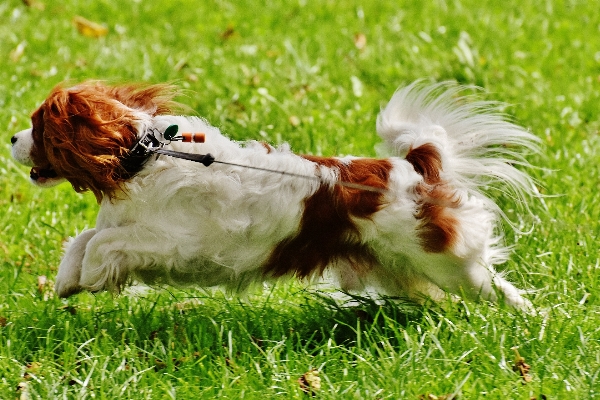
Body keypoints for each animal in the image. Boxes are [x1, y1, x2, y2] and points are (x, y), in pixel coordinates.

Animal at [9, 80, 536, 310]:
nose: (11, 137)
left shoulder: (172, 243)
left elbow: (102, 243)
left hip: (450, 264)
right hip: (401, 269)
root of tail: (415, 165)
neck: (144, 159)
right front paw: (67, 281)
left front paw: (90, 277)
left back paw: (527, 323)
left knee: (499, 290)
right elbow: (82, 239)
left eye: (39, 126)